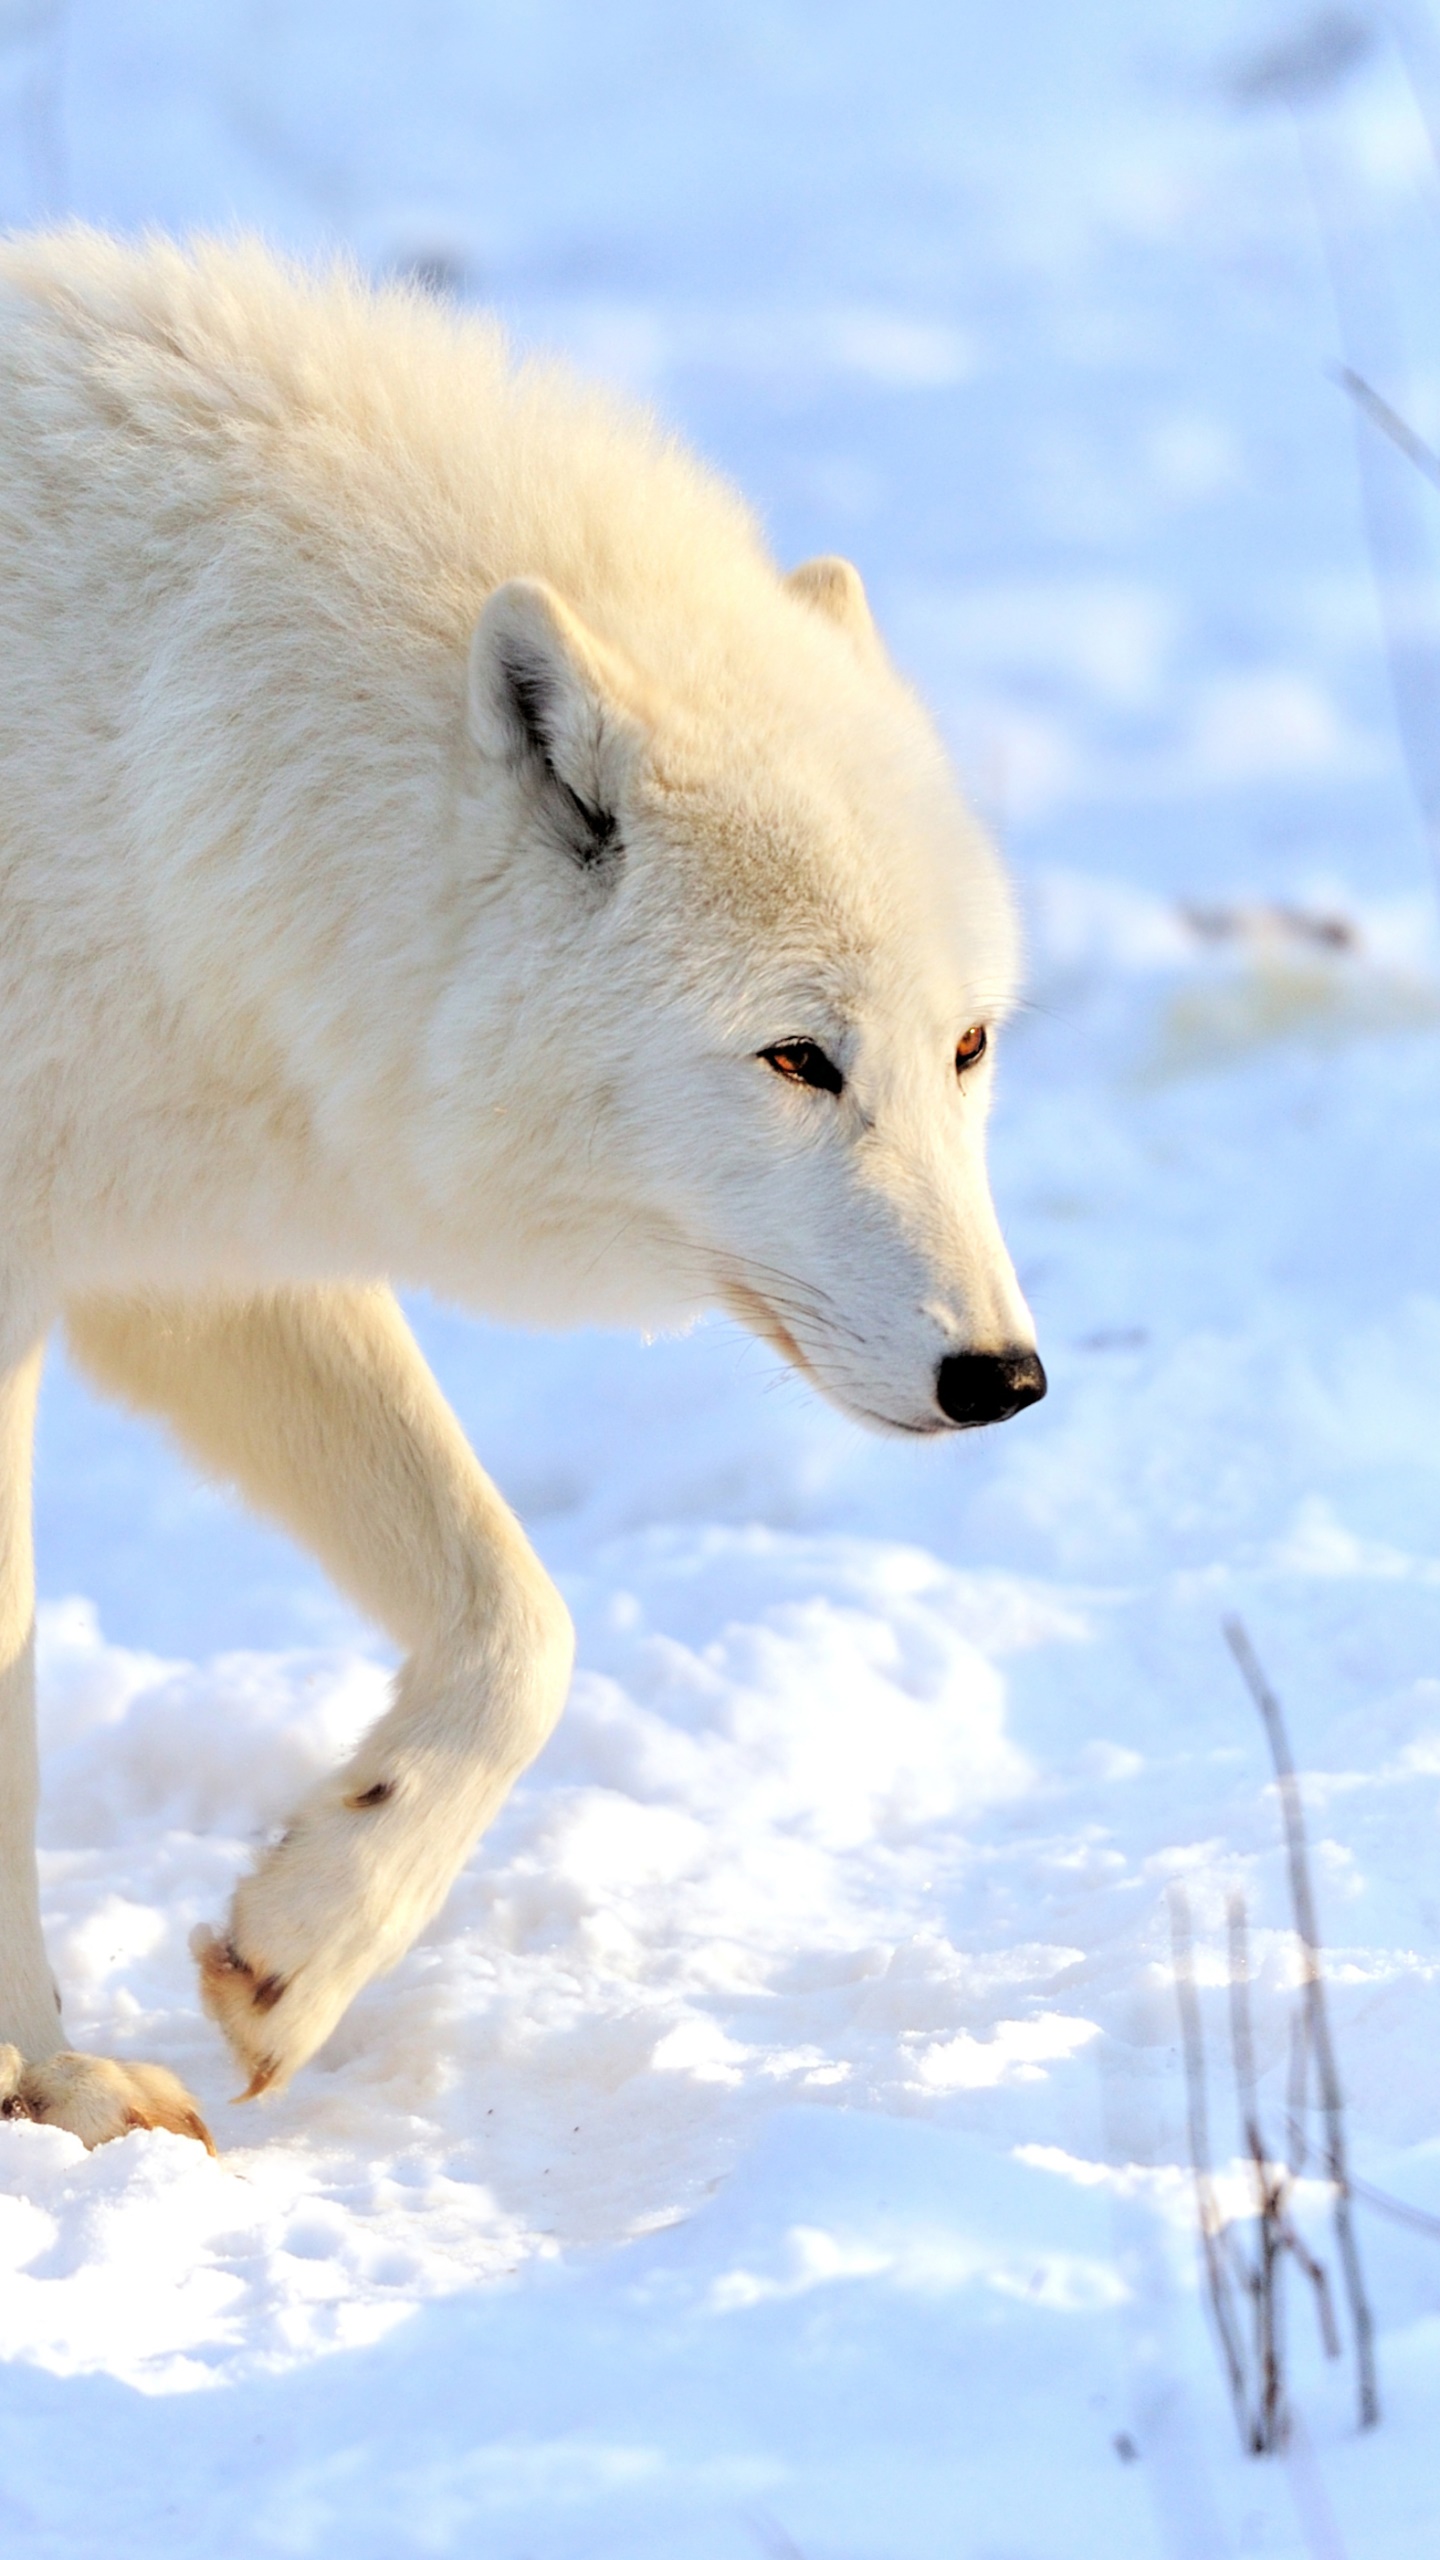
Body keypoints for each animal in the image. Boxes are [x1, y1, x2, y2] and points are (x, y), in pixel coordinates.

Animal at [0, 231, 1044, 2152]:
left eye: (965, 1046)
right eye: (800, 1060)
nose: (1000, 1378)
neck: (131, 743)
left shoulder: (187, 1255)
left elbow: (524, 1626)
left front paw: (301, 1943)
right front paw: (49, 2087)